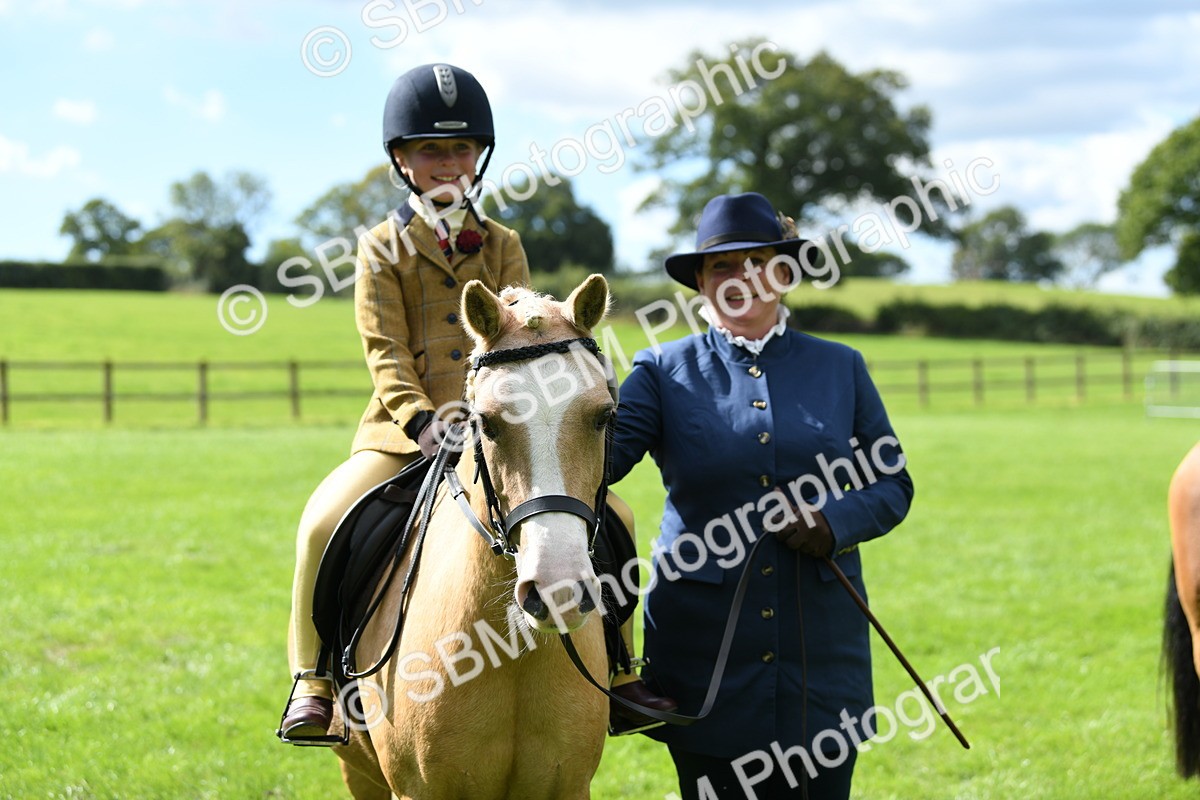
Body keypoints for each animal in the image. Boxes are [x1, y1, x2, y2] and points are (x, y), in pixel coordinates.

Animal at [330, 274, 613, 799]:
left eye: (603, 416)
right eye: (486, 422)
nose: (559, 592)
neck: (510, 651)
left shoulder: (569, 786)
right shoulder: (415, 790)